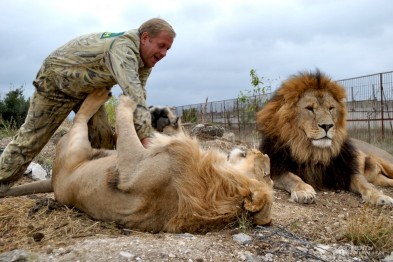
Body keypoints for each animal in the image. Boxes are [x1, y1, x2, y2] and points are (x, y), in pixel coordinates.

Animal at [256, 70, 392, 206]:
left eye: (330, 108)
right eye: (309, 108)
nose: (327, 126)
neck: (312, 151)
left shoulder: (347, 170)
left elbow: (364, 184)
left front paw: (380, 196)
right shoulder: (275, 169)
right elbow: (291, 177)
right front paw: (304, 190)